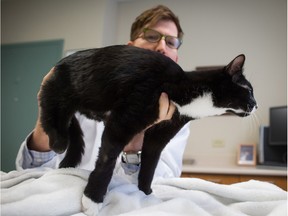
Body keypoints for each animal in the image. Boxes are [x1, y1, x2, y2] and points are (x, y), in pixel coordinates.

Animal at [40, 44, 256, 204]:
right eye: (248, 90)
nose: (256, 104)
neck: (184, 87)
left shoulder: (160, 133)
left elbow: (150, 165)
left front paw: (145, 194)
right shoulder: (124, 120)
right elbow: (107, 159)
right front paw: (93, 198)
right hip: (59, 92)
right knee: (50, 114)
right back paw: (58, 141)